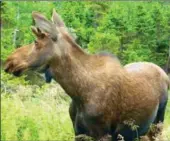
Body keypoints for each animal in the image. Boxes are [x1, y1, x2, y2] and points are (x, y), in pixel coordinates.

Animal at [3, 9, 169, 140]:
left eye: (36, 42)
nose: (9, 61)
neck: (78, 93)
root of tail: (165, 75)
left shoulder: (103, 133)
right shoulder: (78, 132)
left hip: (158, 123)